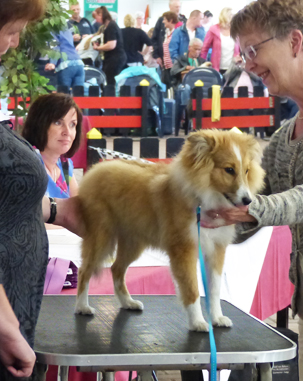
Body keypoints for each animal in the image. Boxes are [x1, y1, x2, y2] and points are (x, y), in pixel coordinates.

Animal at [76, 130, 266, 330]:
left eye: (246, 170)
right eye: (229, 169)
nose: (247, 201)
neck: (204, 200)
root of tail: (97, 169)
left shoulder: (216, 249)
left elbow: (215, 290)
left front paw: (217, 318)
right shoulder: (184, 249)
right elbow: (192, 288)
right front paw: (198, 322)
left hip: (133, 243)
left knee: (116, 269)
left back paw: (128, 302)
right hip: (101, 237)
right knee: (84, 270)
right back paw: (83, 307)